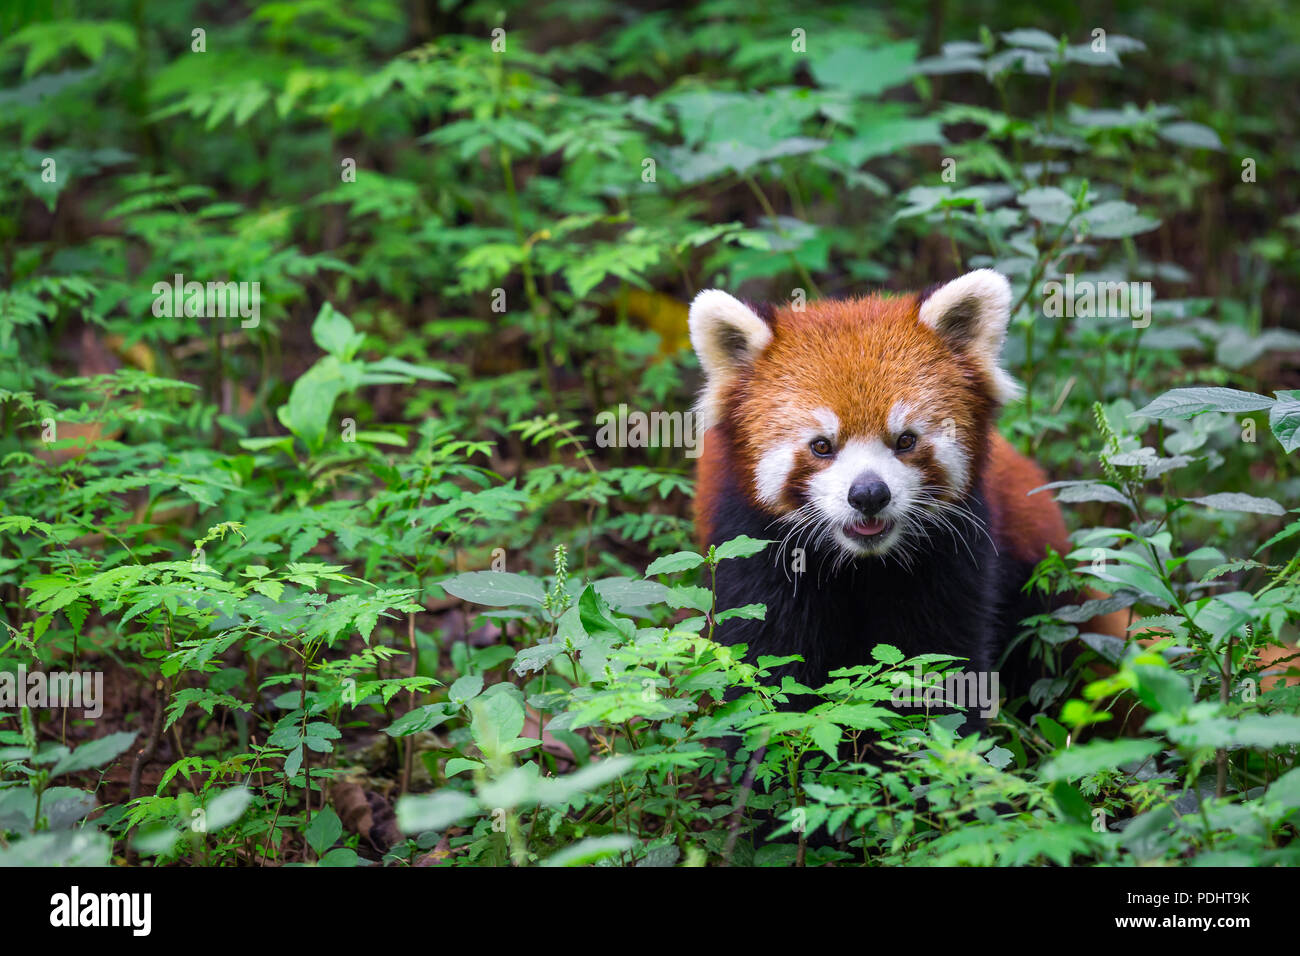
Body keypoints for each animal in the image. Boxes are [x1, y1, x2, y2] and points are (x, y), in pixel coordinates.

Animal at [686, 269, 1102, 712]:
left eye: (905, 440)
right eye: (822, 446)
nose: (869, 494)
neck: (860, 565)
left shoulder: (954, 555)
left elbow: (945, 663)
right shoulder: (752, 550)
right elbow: (765, 665)